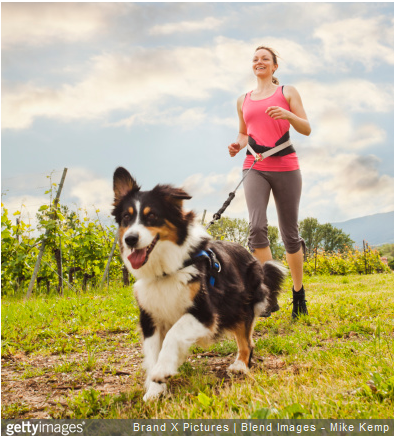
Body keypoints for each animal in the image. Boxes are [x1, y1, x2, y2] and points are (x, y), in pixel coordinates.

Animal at [111, 168, 284, 402]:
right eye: (126, 217)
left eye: (152, 216)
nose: (130, 239)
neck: (166, 270)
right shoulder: (150, 316)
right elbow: (153, 352)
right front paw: (155, 390)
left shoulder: (205, 313)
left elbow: (174, 334)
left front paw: (162, 371)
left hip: (240, 305)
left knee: (246, 340)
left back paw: (240, 365)